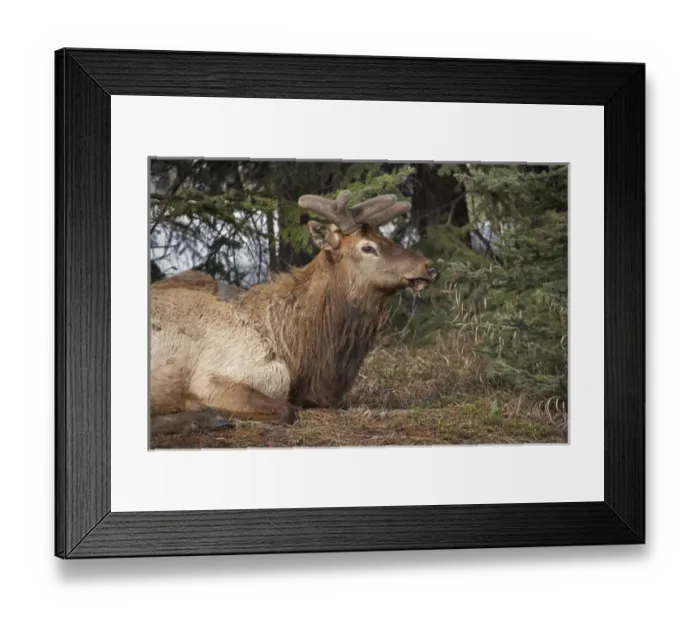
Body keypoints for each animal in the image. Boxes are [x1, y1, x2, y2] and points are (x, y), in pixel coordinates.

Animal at [150, 190, 440, 435]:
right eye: (367, 247)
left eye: (387, 238)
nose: (429, 267)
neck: (296, 350)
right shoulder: (213, 378)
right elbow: (286, 410)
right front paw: (203, 408)